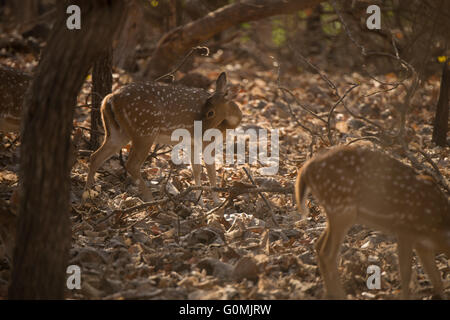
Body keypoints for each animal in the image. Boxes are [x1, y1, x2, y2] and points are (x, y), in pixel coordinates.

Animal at [296, 146, 450, 300]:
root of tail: (306, 169)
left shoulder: (423, 244)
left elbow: (436, 278)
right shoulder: (405, 230)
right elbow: (406, 272)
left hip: (335, 212)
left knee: (319, 246)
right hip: (341, 209)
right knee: (327, 253)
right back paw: (340, 295)